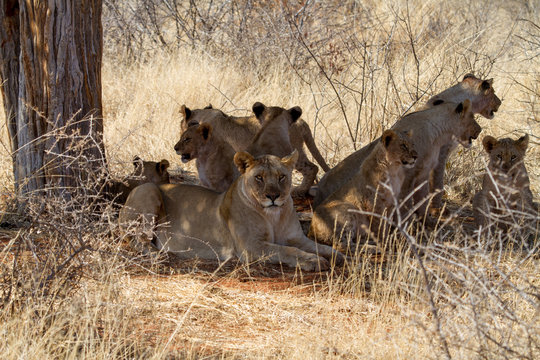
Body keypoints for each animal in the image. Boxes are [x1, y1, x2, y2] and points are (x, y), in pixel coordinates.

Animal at [118, 149, 346, 270]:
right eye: (259, 178)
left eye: (282, 177)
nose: (273, 196)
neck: (273, 216)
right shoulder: (251, 246)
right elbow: (286, 251)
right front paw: (313, 261)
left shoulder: (297, 238)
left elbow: (322, 247)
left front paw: (342, 256)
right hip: (148, 190)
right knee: (135, 238)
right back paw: (158, 253)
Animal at [178, 101, 330, 197]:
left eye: (184, 136)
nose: (176, 146)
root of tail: (301, 121)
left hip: (293, 150)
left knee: (312, 167)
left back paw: (299, 191)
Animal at [316, 74, 502, 208]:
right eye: (493, 92)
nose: (500, 102)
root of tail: (317, 188)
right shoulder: (441, 154)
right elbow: (438, 183)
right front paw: (438, 210)